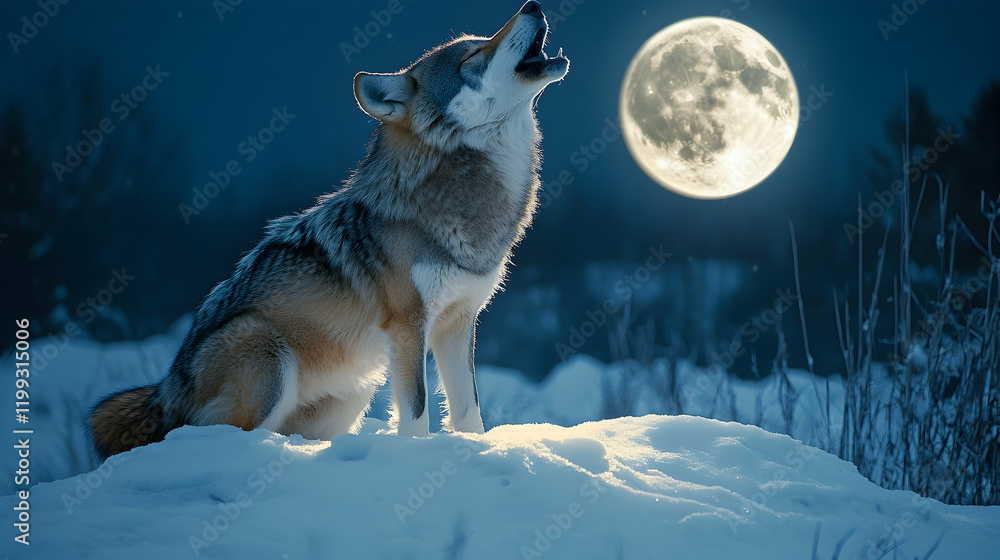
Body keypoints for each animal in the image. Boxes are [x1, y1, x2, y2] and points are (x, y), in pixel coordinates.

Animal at [88, 1, 569, 459]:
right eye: (472, 55)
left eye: (480, 42)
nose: (532, 5)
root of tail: (166, 392)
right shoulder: (408, 326)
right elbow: (416, 413)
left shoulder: (458, 323)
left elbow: (469, 412)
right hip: (267, 351)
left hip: (350, 397)